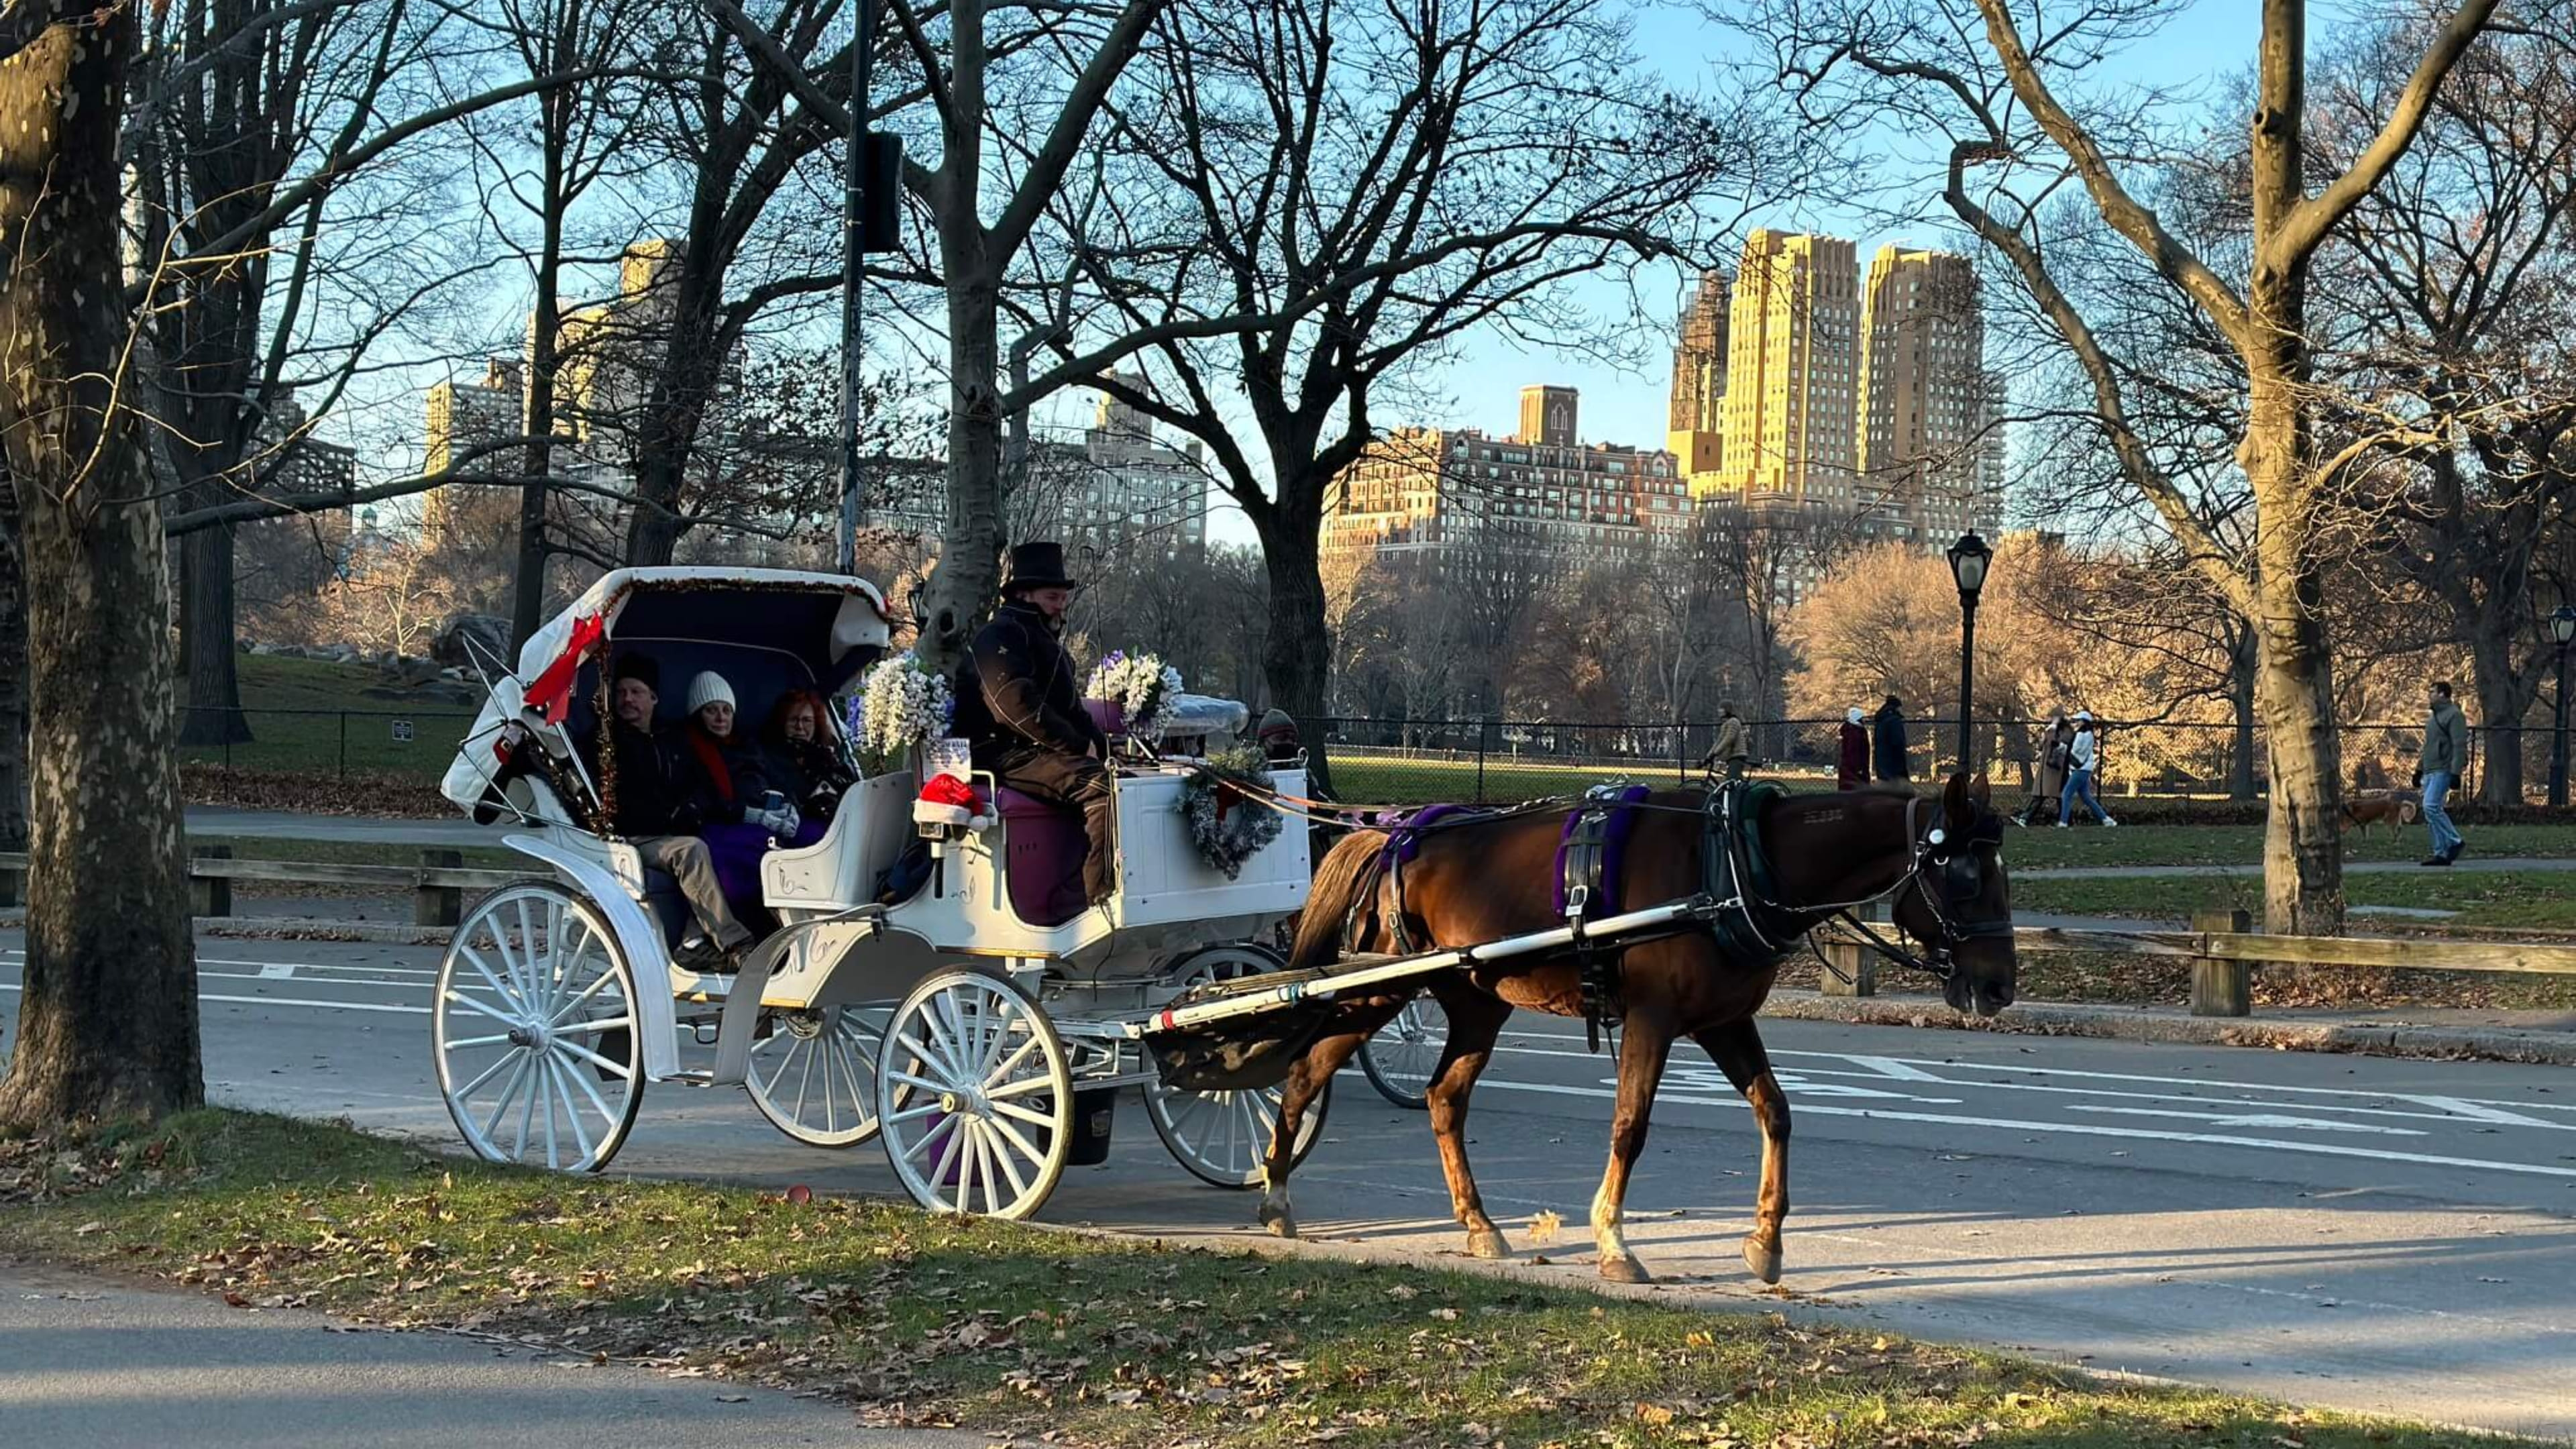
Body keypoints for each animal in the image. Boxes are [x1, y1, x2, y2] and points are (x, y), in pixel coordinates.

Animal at [1256, 773, 2019, 1279]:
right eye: (1966, 875)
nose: (2000, 986)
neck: (1732, 863)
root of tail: (1399, 833)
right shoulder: (1654, 1018)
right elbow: (1631, 1124)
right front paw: (1613, 1240)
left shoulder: (1725, 1020)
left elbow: (1775, 1112)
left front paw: (1766, 1239)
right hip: (1379, 990)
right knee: (1305, 1069)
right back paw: (1275, 1195)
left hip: (1478, 1002)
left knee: (1444, 1098)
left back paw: (1478, 1224)